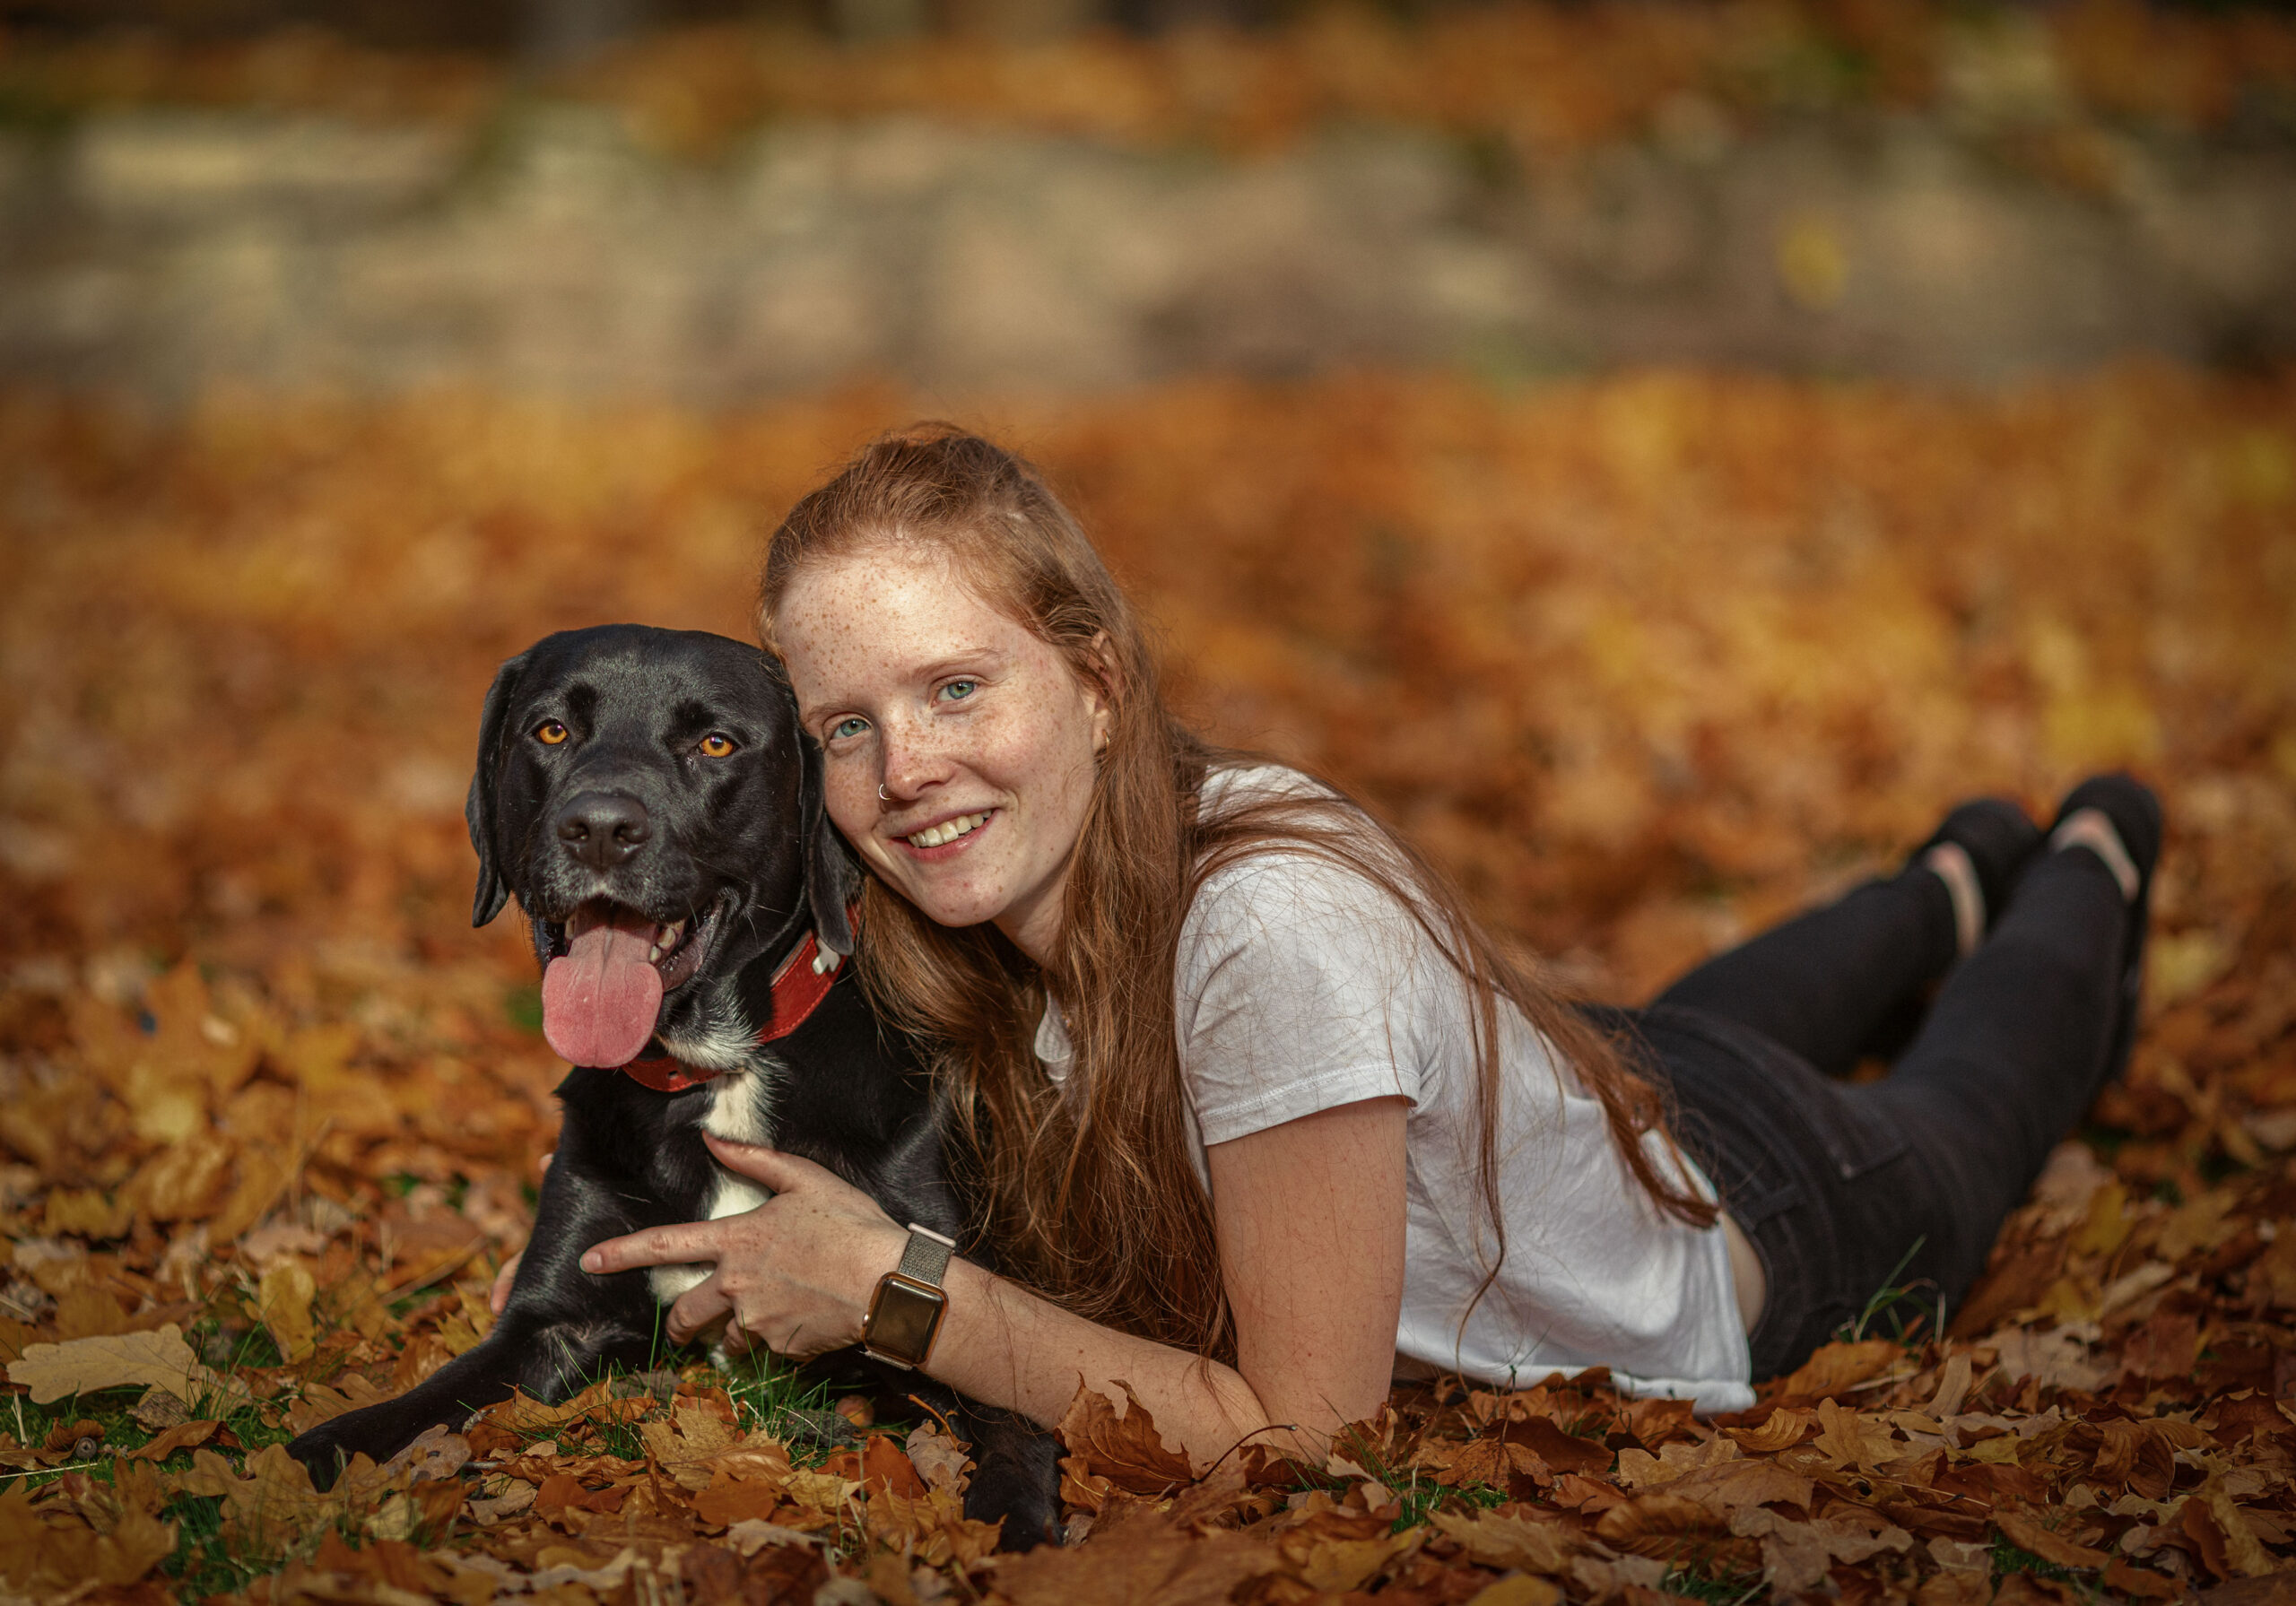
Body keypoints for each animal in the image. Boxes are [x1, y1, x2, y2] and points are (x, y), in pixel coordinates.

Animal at [282, 623, 1060, 1541]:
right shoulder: (554, 1315)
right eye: (551, 731)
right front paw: (309, 1456)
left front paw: (1012, 1526)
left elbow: (1016, 1414)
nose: (597, 828)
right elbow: (423, 1402)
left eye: (714, 743)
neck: (715, 1065)